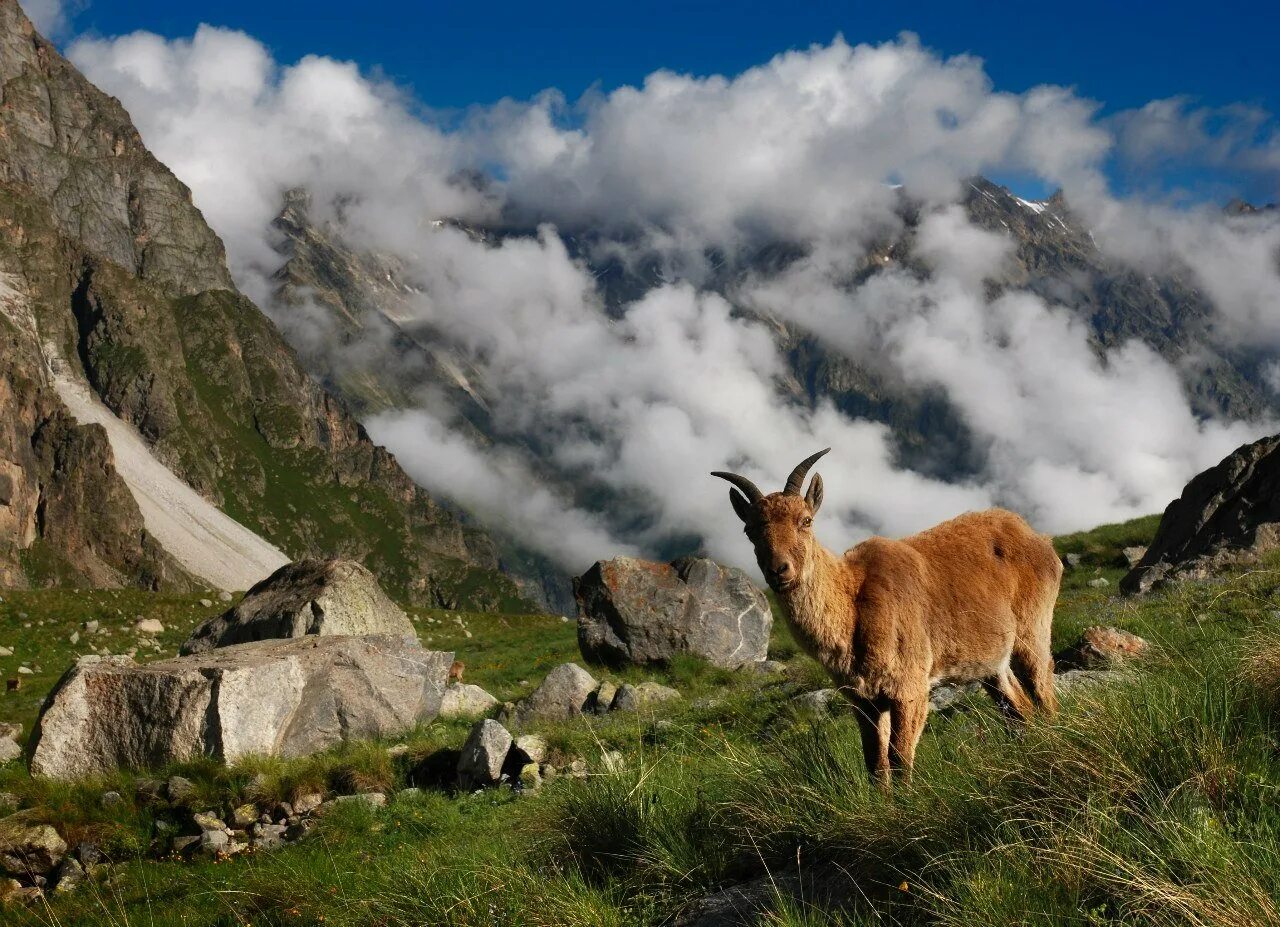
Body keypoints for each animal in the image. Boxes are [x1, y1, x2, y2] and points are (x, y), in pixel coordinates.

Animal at [711, 448, 1059, 783]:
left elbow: (900, 757)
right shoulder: (864, 699)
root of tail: (1036, 536)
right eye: (750, 529)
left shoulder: (909, 687)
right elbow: (875, 764)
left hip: (1033, 630)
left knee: (1044, 694)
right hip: (991, 664)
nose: (779, 570)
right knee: (1019, 708)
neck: (853, 605)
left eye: (806, 520)